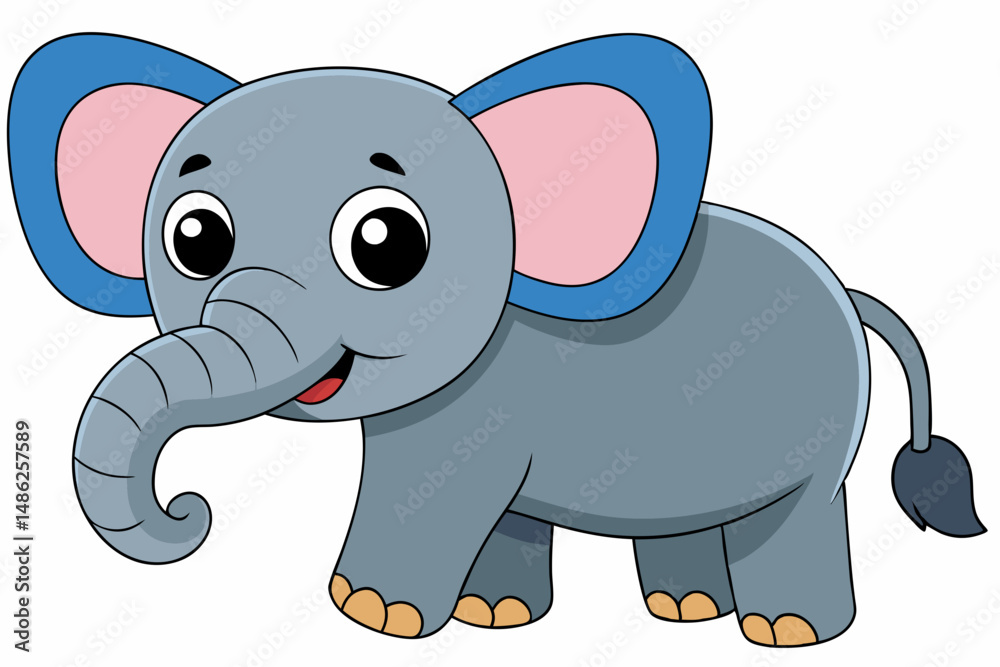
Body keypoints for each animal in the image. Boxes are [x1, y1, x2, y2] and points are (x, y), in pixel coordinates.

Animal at [9, 33, 986, 646]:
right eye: (195, 238)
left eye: (386, 244)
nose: (191, 511)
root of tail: (848, 290)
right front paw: (491, 619)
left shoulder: (479, 407)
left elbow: (439, 492)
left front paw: (371, 613)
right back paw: (685, 609)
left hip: (819, 440)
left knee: (799, 515)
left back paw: (785, 632)